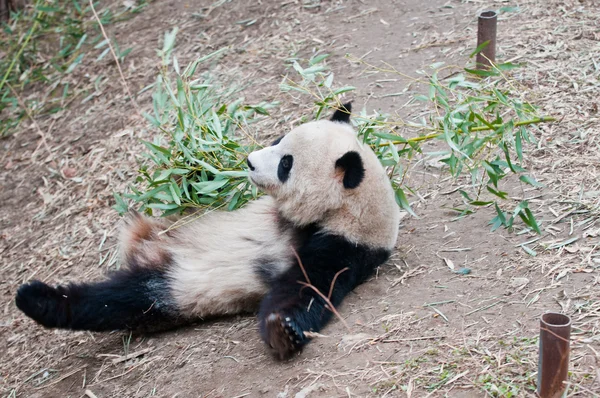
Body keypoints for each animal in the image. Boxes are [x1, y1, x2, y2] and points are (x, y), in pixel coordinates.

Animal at [15, 104, 398, 360]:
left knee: (114, 301)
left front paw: (283, 331)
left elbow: (305, 289)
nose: (249, 161)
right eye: (278, 139)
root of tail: (145, 250)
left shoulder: (344, 247)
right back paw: (33, 297)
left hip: (171, 287)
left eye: (286, 164)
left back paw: (36, 299)